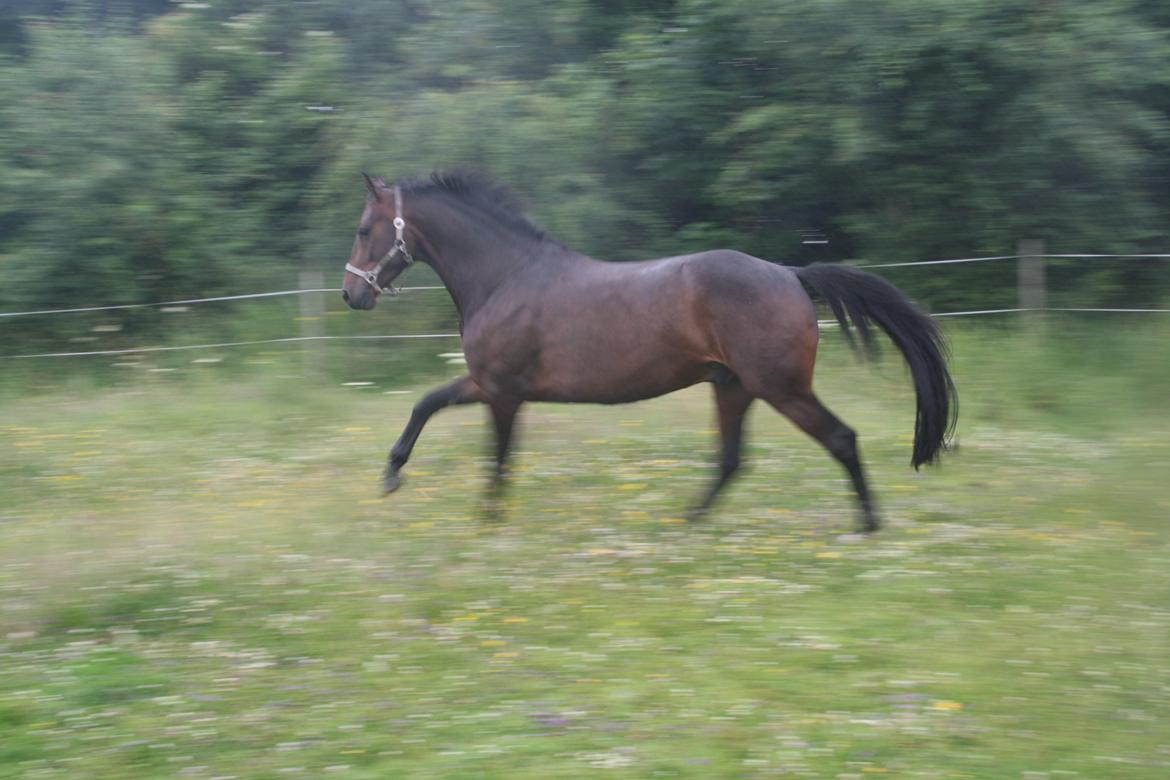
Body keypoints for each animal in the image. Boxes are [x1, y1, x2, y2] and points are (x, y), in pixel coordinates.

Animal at [341, 171, 959, 533]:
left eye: (366, 228)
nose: (351, 294)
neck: (505, 278)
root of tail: (790, 274)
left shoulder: (503, 392)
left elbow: (497, 458)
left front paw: (487, 520)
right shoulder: (487, 385)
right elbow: (426, 403)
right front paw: (392, 474)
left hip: (780, 388)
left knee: (840, 438)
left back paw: (868, 527)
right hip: (734, 388)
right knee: (731, 460)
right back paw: (685, 523)